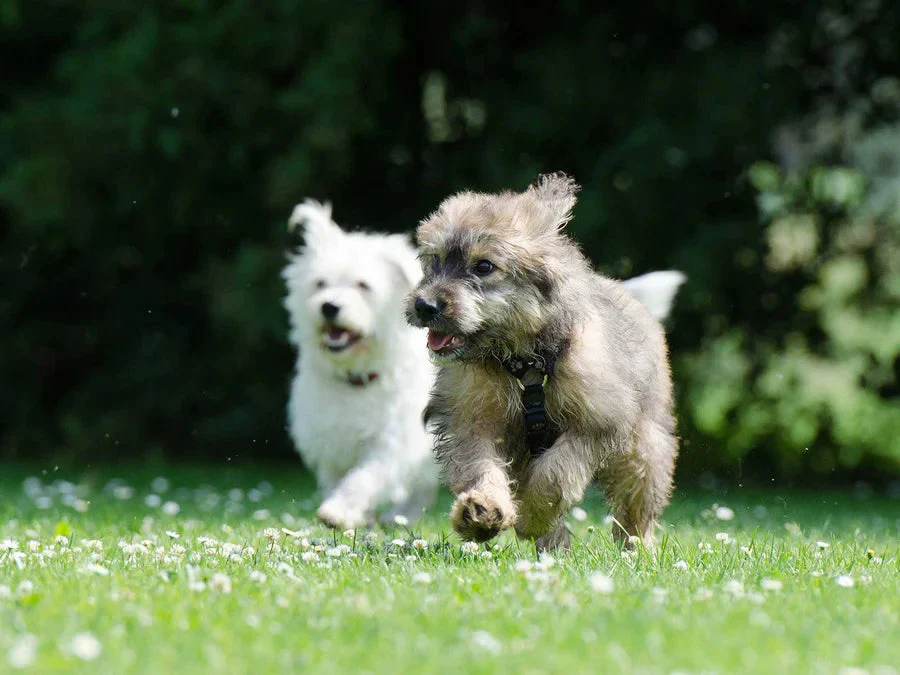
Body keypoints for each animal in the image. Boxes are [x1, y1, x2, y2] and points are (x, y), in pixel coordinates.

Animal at [282, 201, 436, 528]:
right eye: (320, 283)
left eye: (363, 286)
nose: (329, 307)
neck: (356, 376)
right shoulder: (330, 442)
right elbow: (336, 479)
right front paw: (352, 514)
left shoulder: (391, 442)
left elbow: (364, 478)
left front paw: (339, 511)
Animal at [406, 172, 676, 552]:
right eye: (435, 259)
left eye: (484, 266)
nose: (424, 305)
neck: (523, 363)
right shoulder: (473, 419)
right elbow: (479, 465)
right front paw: (483, 509)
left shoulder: (596, 422)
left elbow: (555, 474)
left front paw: (531, 515)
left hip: (645, 446)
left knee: (636, 503)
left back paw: (636, 549)